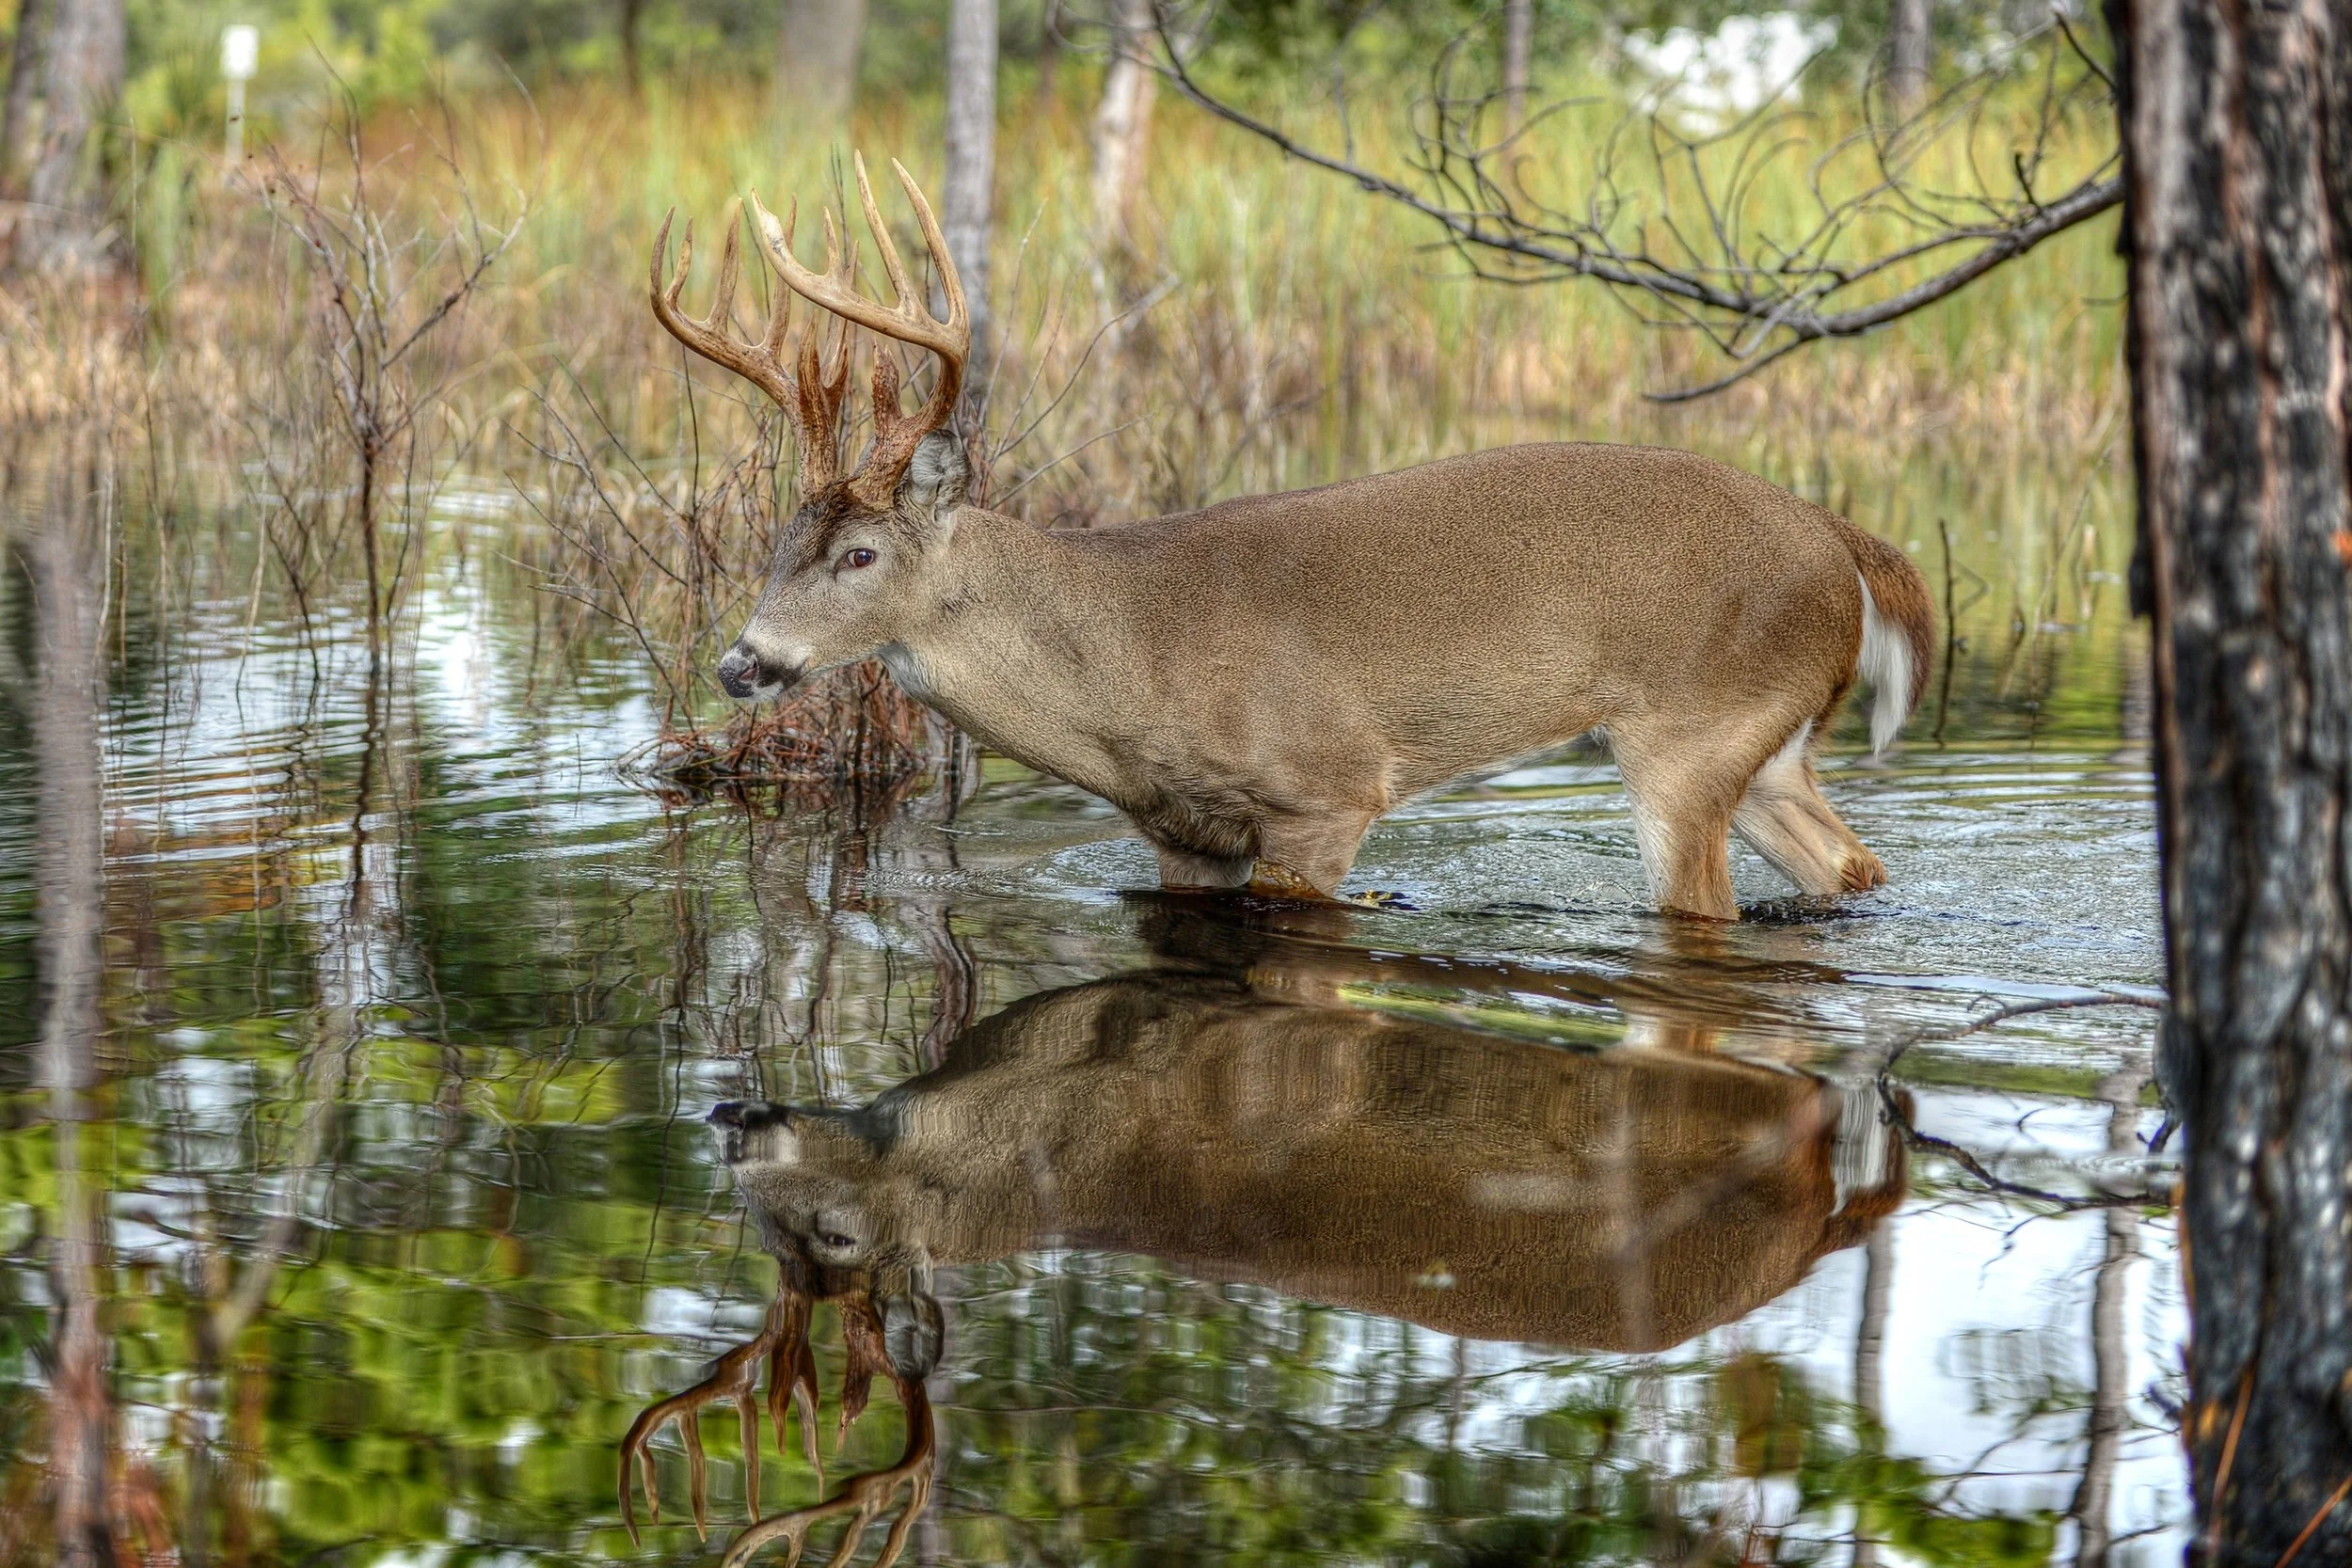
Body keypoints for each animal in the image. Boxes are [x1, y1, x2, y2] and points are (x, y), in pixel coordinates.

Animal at [649, 157, 1937, 920]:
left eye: (859, 555)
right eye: (776, 543)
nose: (743, 661)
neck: (1126, 657)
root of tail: (1842, 538)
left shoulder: (1326, 789)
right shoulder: (1183, 831)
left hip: (1687, 729)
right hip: (1765, 739)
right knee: (1851, 862)